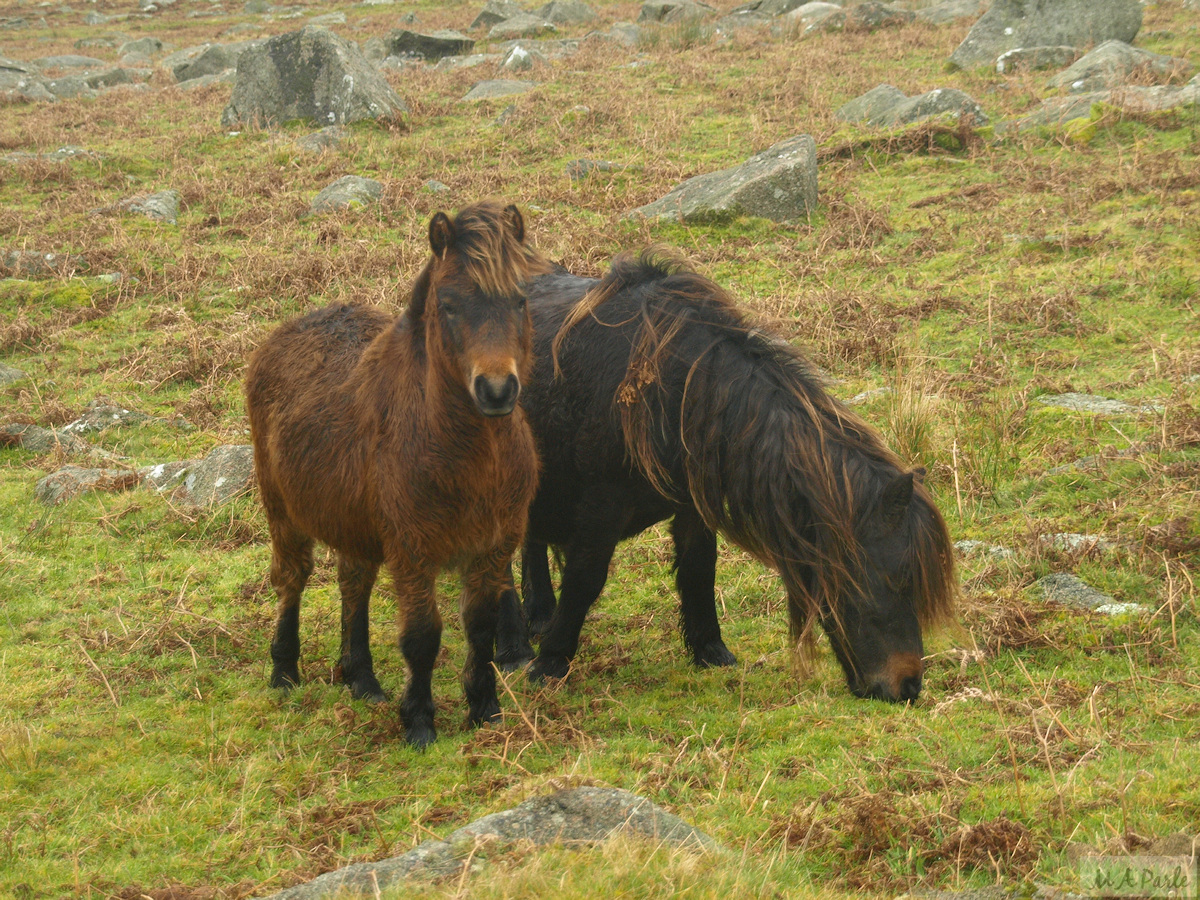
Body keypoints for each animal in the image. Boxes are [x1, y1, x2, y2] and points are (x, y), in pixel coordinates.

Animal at [244, 202, 552, 748]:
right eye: (448, 305)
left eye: (520, 299)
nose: (496, 390)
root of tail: (288, 331)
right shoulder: (413, 551)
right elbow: (422, 636)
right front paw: (420, 723)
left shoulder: (492, 549)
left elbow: (481, 628)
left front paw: (485, 709)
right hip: (283, 512)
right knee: (291, 579)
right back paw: (284, 672)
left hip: (355, 526)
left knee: (353, 583)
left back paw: (362, 679)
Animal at [494, 250, 955, 700]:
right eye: (898, 578)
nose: (909, 685)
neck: (670, 392)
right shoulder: (601, 508)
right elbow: (585, 580)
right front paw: (550, 663)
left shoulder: (692, 508)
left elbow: (699, 570)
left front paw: (710, 651)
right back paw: (515, 648)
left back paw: (539, 616)